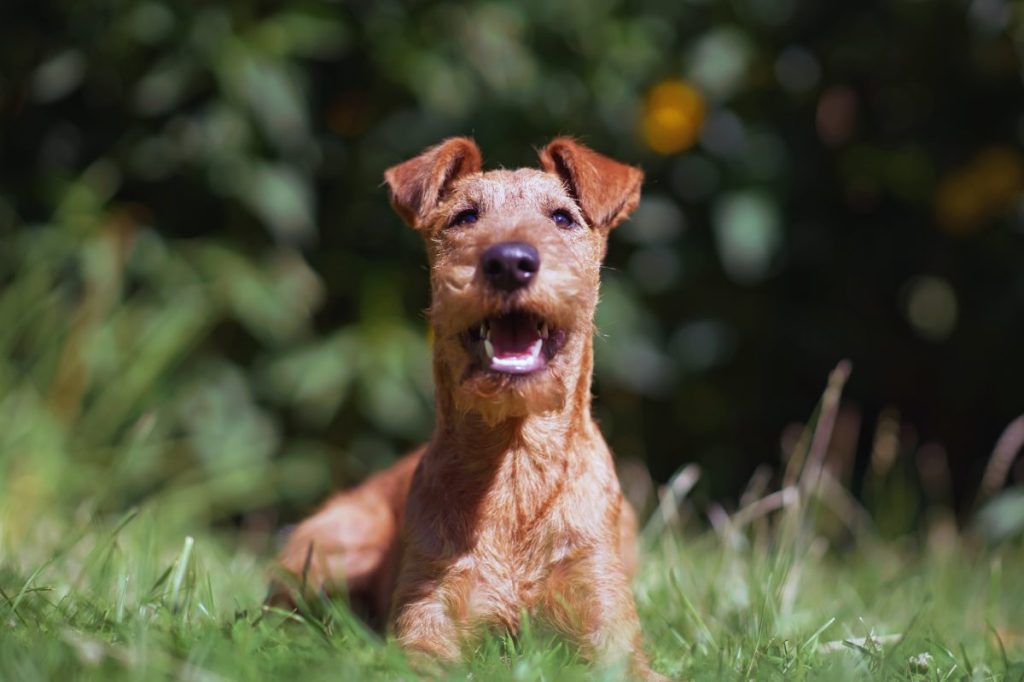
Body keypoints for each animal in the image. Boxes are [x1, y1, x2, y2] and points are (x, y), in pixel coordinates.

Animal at [272, 135, 667, 675]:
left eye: (562, 217)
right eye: (465, 217)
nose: (510, 261)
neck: (515, 468)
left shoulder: (606, 621)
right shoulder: (429, 612)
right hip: (326, 547)